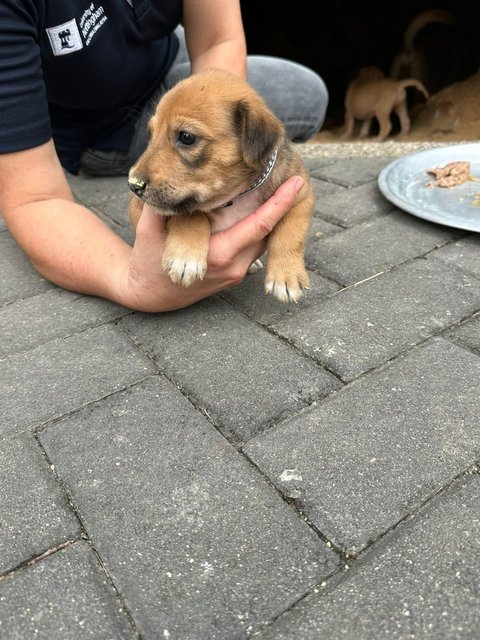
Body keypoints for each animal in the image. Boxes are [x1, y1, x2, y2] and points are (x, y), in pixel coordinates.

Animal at [128, 69, 316, 304]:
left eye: (186, 137)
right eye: (151, 134)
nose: (133, 185)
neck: (236, 196)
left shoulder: (300, 193)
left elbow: (291, 232)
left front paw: (287, 276)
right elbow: (191, 214)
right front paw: (185, 256)